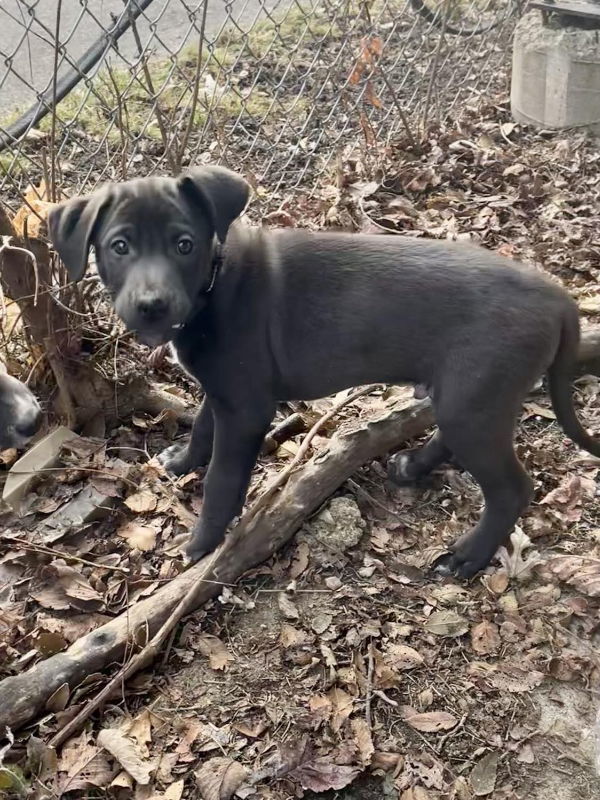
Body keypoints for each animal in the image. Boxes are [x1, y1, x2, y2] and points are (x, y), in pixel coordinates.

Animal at [48, 166, 600, 580]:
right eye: (119, 246)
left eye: (184, 245)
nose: (152, 307)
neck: (213, 284)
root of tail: (558, 298)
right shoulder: (225, 391)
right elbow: (203, 426)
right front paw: (183, 461)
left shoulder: (246, 408)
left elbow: (223, 482)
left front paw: (202, 544)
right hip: (470, 396)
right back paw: (414, 467)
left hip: (475, 398)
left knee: (512, 489)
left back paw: (467, 556)